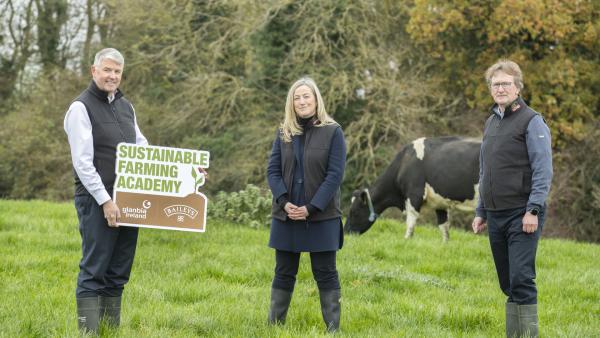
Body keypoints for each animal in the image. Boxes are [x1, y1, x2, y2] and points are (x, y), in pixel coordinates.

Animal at [344, 136, 480, 242]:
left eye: (354, 212)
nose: (345, 232)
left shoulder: (414, 194)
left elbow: (410, 221)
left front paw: (406, 240)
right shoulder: (440, 202)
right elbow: (444, 227)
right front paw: (445, 244)